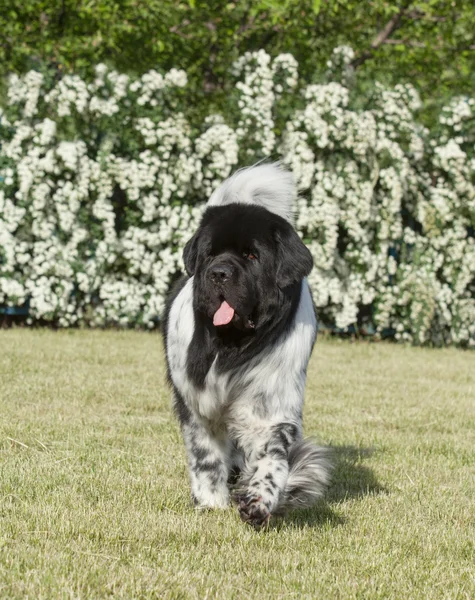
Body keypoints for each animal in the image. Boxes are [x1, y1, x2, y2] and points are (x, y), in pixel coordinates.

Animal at [164, 164, 330, 528]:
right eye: (210, 254)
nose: (219, 273)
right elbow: (206, 455)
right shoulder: (198, 401)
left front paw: (258, 500)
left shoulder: (272, 401)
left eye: (252, 256)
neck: (233, 347)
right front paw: (211, 502)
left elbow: (272, 457)